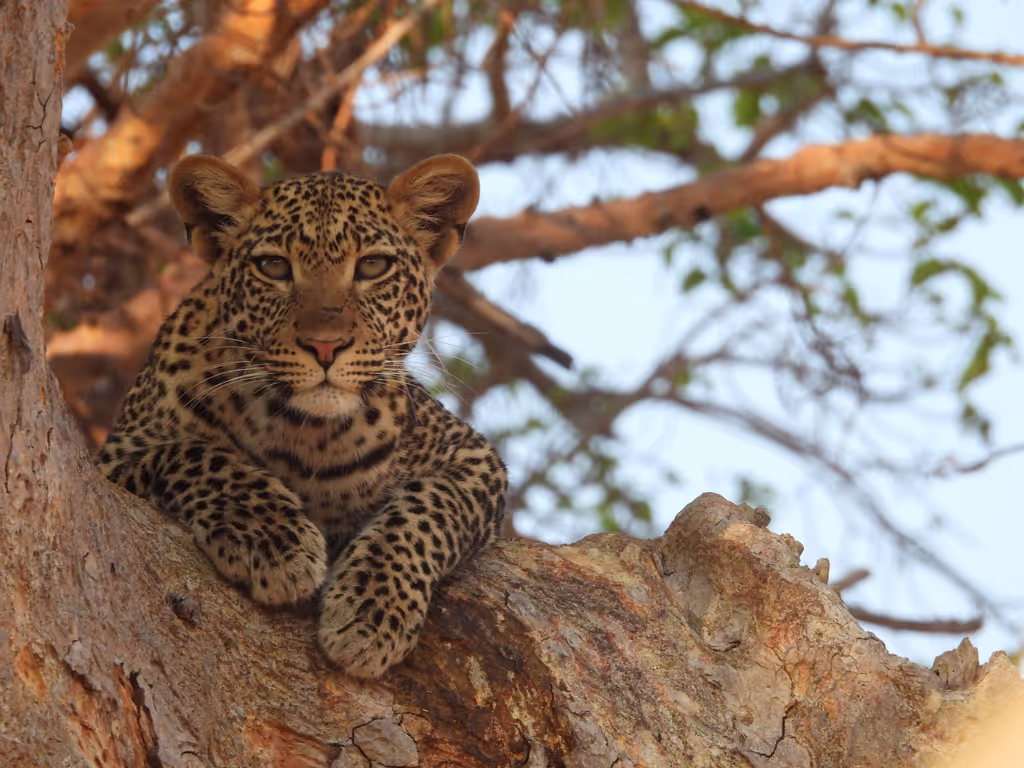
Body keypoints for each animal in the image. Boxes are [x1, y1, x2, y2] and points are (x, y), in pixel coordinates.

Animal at [96, 153, 507, 678]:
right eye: (274, 266)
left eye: (373, 265)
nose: (325, 346)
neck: (307, 433)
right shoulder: (117, 456)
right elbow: (195, 454)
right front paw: (273, 540)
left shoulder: (474, 457)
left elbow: (427, 512)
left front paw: (372, 612)